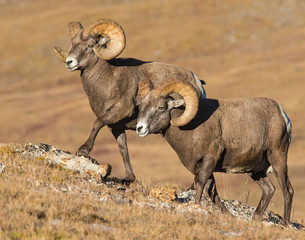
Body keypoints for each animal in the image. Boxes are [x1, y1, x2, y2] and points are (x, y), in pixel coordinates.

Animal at [54, 19, 207, 181]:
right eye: (73, 43)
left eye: (90, 45)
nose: (69, 62)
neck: (109, 79)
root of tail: (198, 82)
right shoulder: (116, 126)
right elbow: (123, 149)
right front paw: (129, 178)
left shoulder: (119, 112)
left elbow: (97, 123)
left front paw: (84, 149)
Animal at [135, 79, 292, 225]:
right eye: (142, 107)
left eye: (161, 107)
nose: (140, 128)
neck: (192, 130)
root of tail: (283, 115)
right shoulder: (204, 168)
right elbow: (212, 193)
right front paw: (229, 216)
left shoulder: (208, 161)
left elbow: (200, 185)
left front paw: (196, 207)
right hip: (256, 171)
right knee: (269, 189)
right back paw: (256, 219)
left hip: (277, 158)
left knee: (287, 190)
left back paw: (285, 224)